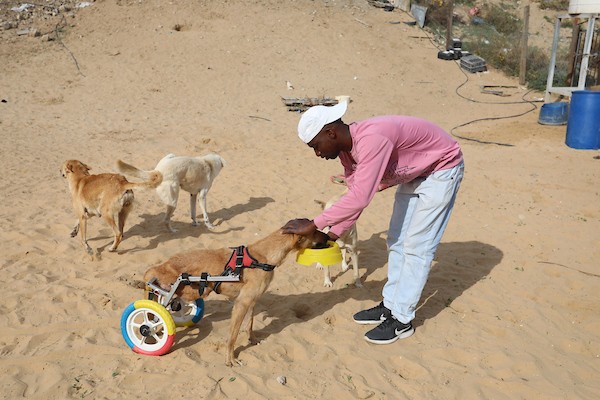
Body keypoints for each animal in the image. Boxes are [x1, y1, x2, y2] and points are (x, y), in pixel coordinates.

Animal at [143, 228, 326, 366]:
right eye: (315, 231)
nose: (330, 236)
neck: (262, 257)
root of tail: (160, 267)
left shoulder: (251, 301)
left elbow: (249, 325)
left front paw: (252, 339)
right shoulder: (241, 304)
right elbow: (233, 336)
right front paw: (230, 359)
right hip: (191, 289)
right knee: (158, 311)